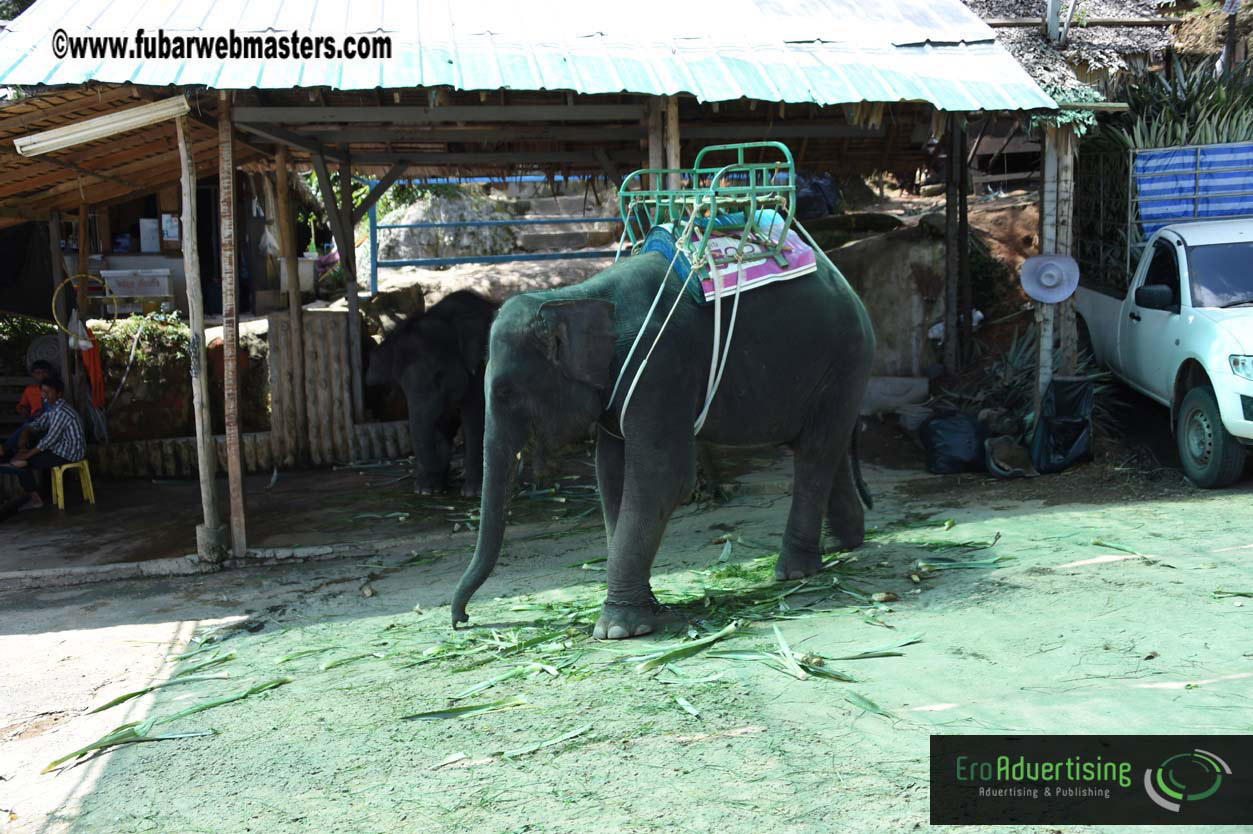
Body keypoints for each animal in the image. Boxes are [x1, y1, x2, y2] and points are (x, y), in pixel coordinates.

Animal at [365, 290, 499, 496]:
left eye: (439, 376)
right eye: (401, 385)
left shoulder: (480, 370)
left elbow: (474, 418)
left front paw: (472, 493)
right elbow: (440, 421)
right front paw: (427, 490)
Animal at [450, 249, 875, 639]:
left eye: (504, 393)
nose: (463, 620)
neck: (574, 296)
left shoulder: (660, 367)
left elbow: (663, 477)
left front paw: (617, 630)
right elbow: (612, 476)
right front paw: (646, 610)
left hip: (844, 361)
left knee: (815, 452)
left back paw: (793, 572)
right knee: (826, 446)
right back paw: (841, 543)